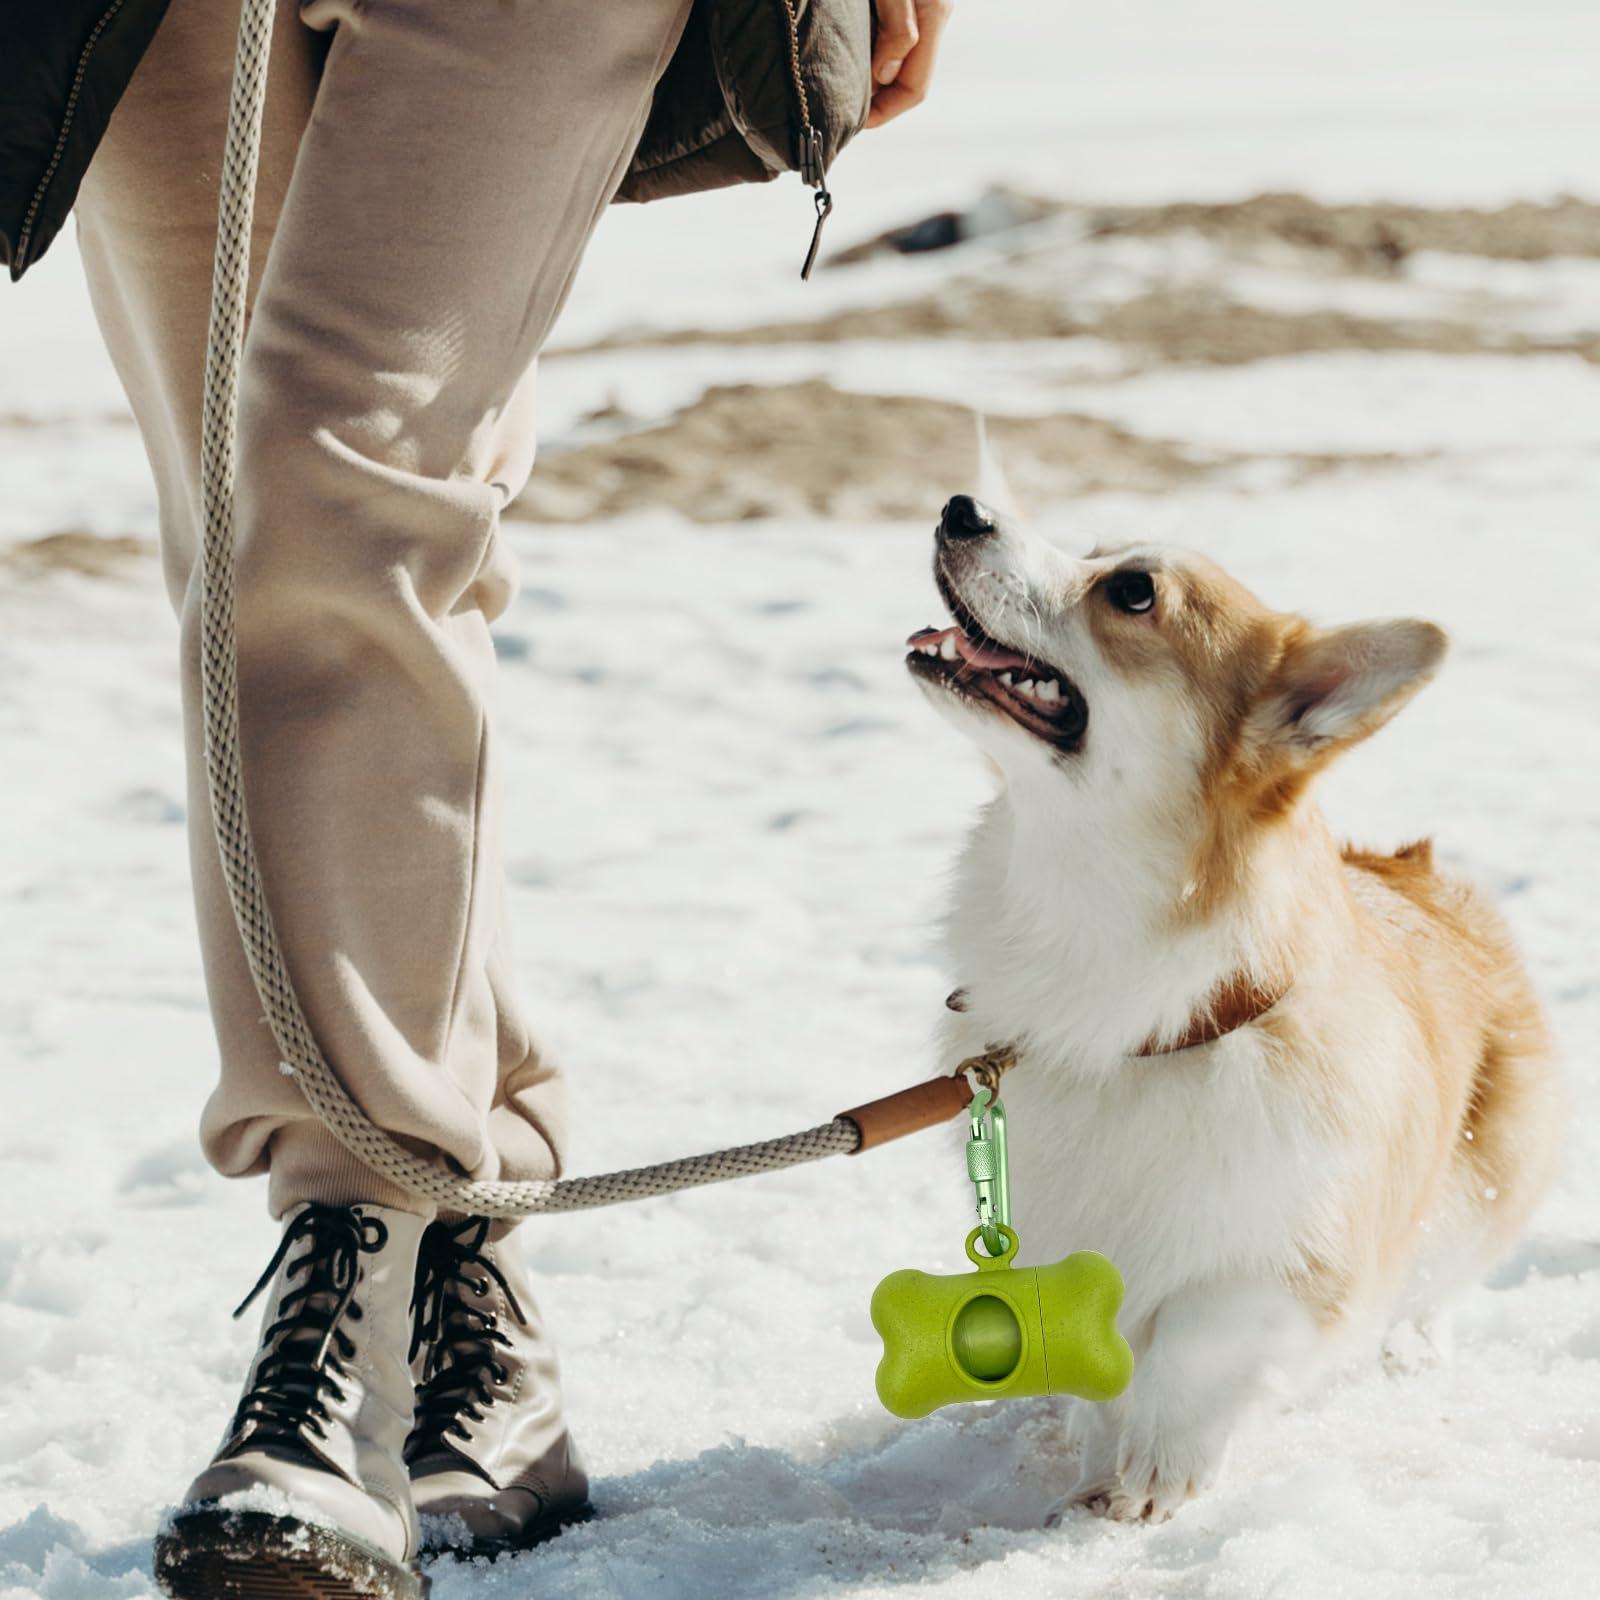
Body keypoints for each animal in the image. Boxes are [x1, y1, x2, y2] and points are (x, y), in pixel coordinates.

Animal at [915, 492, 1561, 1516]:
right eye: (1095, 550)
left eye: (1132, 592)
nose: (962, 507)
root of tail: (1417, 871)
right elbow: (1108, 1365)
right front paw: (1099, 1466)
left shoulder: (1292, 1250)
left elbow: (1200, 1339)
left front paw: (1157, 1476)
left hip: (1477, 1189)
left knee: (1437, 1282)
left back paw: (1414, 1352)